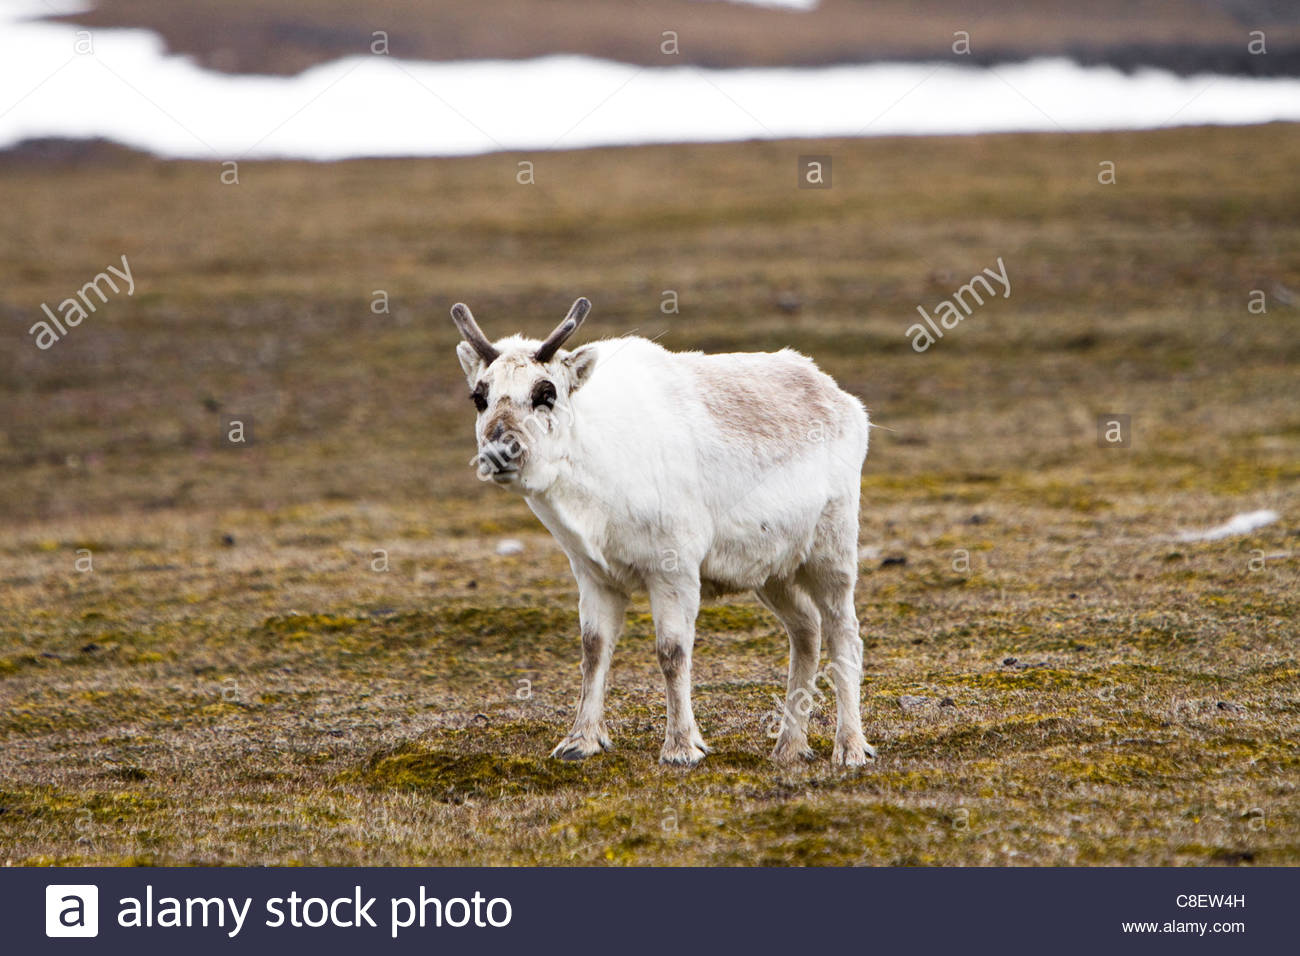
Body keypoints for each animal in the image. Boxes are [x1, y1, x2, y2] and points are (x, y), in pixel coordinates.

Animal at [452, 297, 875, 766]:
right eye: (479, 397)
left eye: (547, 393)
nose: (499, 451)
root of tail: (845, 401)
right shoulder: (593, 573)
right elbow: (593, 650)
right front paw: (580, 741)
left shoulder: (674, 569)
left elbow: (672, 653)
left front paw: (681, 746)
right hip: (773, 571)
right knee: (806, 631)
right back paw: (789, 747)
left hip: (832, 551)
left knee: (844, 635)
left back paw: (850, 747)